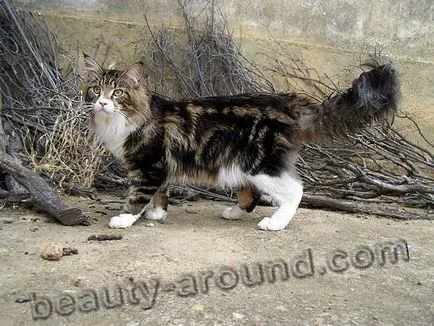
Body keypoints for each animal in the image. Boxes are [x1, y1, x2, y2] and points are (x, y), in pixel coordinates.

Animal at [83, 53, 402, 230]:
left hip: (259, 165)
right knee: (251, 198)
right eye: (95, 89)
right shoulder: (161, 167)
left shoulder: (149, 166)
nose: (101, 103)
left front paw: (125, 219)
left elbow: (137, 195)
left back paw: (275, 224)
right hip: (236, 166)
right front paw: (157, 214)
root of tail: (287, 102)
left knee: (295, 191)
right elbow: (160, 194)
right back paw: (233, 213)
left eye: (118, 93)